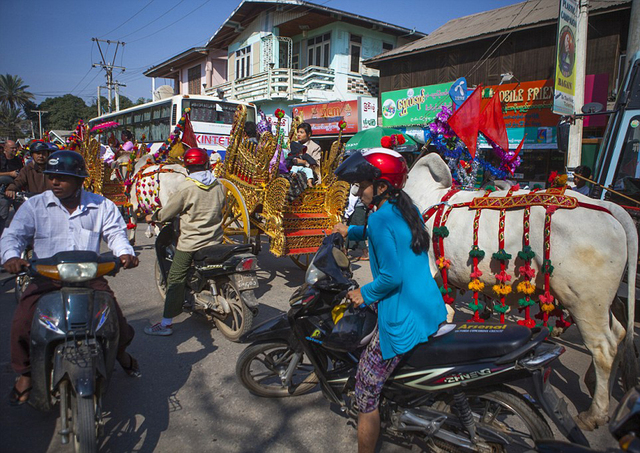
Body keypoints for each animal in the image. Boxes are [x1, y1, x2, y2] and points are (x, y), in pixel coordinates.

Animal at [404, 154, 636, 430]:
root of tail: (607, 207)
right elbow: (445, 315)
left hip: (585, 301)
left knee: (603, 348)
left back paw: (595, 414)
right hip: (603, 302)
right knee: (619, 334)